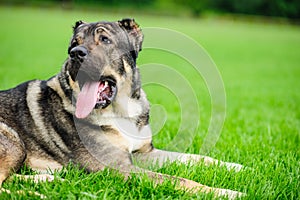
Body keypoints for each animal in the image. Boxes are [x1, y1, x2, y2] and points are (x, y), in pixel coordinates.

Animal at [0, 18, 244, 198]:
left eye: (105, 39)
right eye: (73, 43)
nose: (76, 53)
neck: (120, 110)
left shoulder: (143, 153)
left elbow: (195, 158)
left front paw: (239, 167)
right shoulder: (116, 166)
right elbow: (180, 180)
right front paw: (229, 192)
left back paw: (46, 179)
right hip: (13, 139)